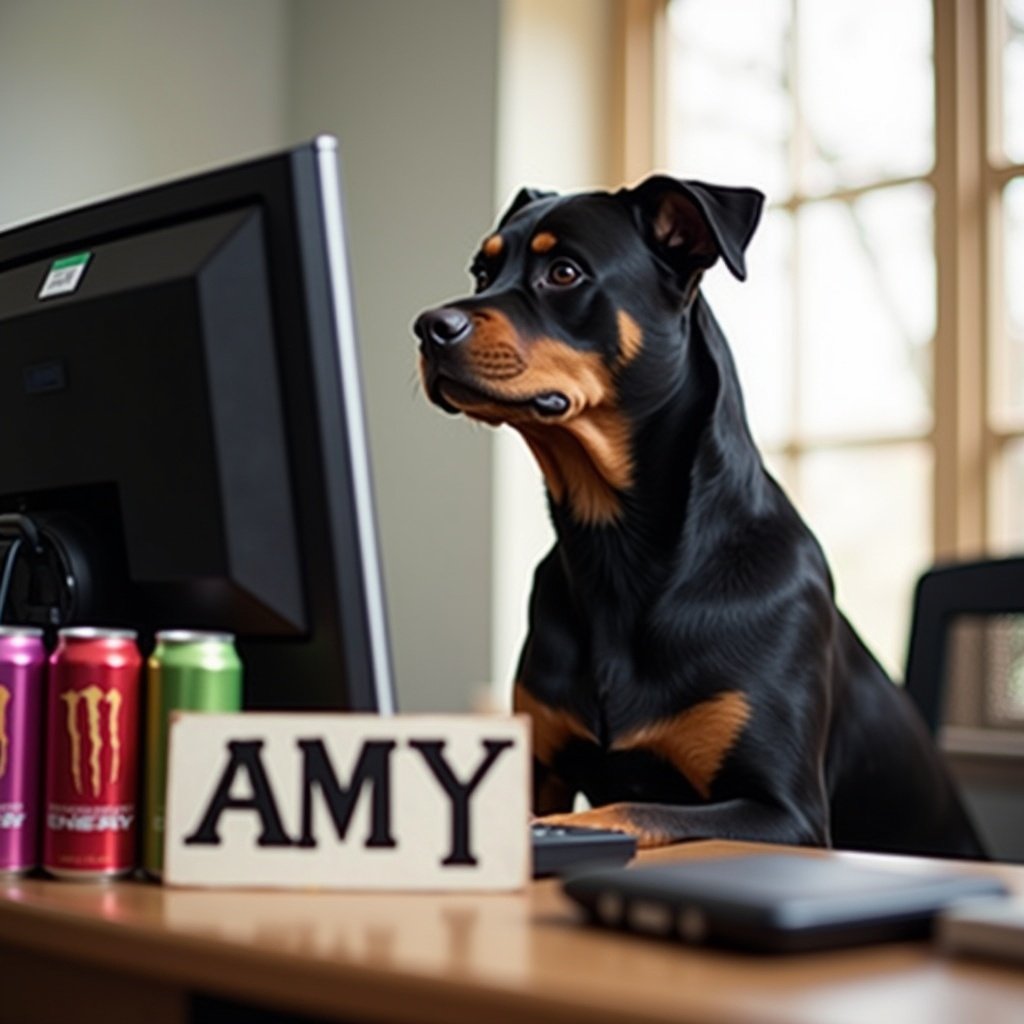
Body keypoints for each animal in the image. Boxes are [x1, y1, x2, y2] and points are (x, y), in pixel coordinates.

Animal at [413, 176, 983, 856]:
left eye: (564, 272)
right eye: (482, 271)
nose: (427, 327)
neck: (614, 543)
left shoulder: (785, 813)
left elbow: (625, 810)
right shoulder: (539, 764)